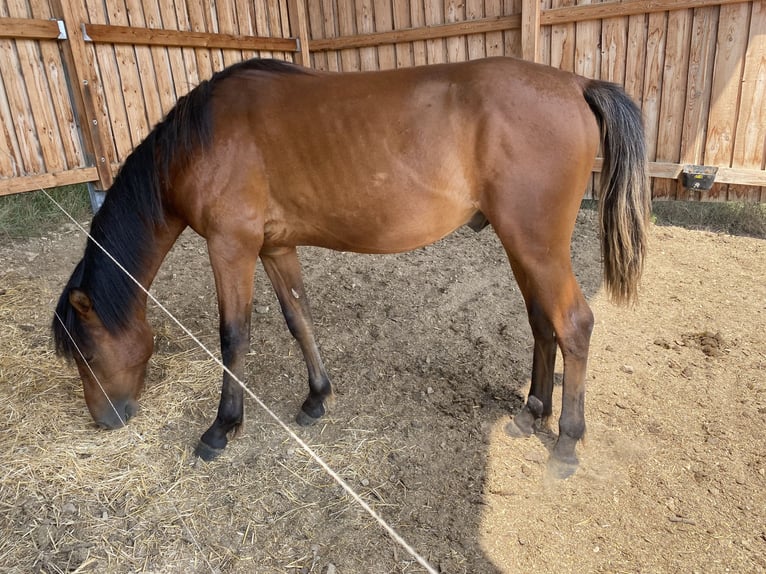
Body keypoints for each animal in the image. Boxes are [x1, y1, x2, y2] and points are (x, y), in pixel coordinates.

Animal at [52, 57, 648, 482]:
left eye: (86, 351)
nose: (105, 419)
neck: (200, 140)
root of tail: (576, 83)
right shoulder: (274, 249)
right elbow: (298, 319)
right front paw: (317, 397)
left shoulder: (231, 248)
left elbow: (233, 337)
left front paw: (222, 427)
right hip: (524, 246)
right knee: (542, 322)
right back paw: (532, 413)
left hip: (536, 244)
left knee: (574, 324)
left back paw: (566, 441)